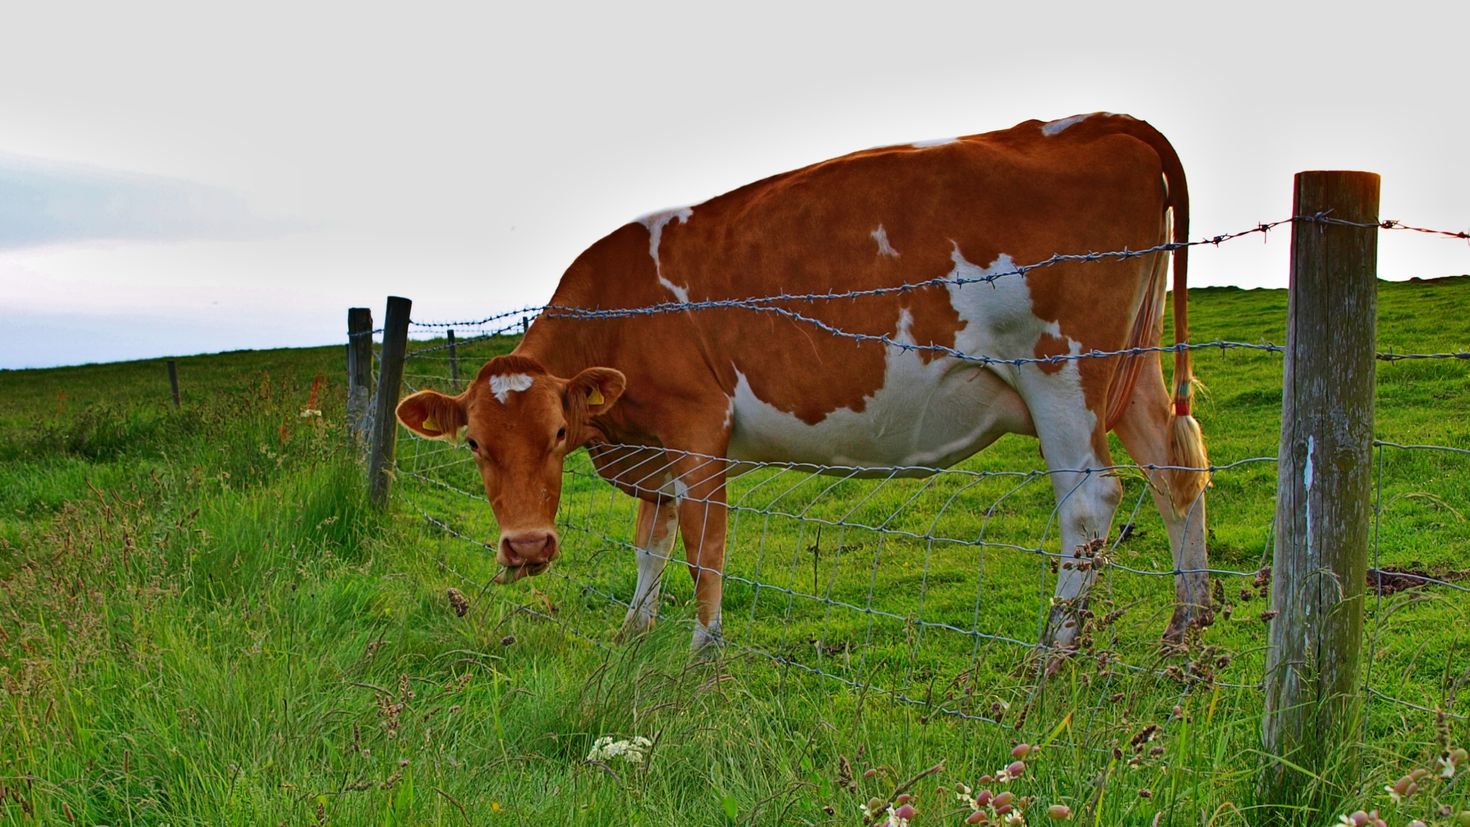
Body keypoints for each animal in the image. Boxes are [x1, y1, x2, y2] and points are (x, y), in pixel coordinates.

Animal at [396, 113, 1211, 658]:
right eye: (474, 444)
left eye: (559, 432)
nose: (526, 546)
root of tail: (1091, 123)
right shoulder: (651, 452)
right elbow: (649, 545)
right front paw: (633, 631)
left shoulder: (698, 431)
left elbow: (702, 548)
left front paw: (702, 656)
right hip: (1133, 370)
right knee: (1173, 473)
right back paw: (1187, 633)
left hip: (1061, 372)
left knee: (1090, 502)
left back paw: (1050, 657)